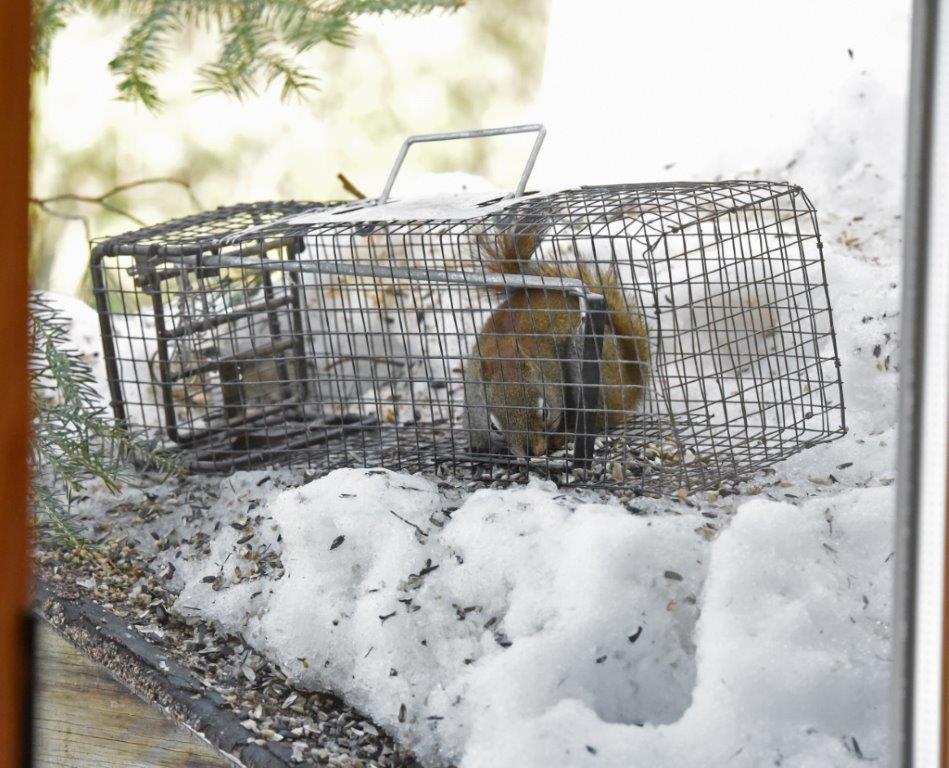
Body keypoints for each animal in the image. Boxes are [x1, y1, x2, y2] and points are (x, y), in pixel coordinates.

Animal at [464, 226, 650, 457]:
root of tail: (628, 389)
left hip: (585, 357)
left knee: (602, 417)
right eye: (494, 427)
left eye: (544, 411)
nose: (532, 451)